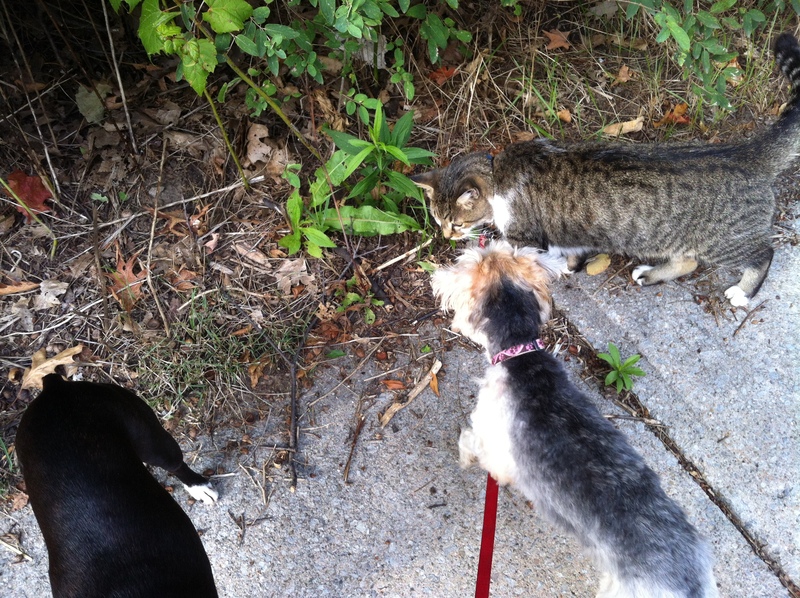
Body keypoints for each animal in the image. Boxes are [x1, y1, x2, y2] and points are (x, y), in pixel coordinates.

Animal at [414, 33, 800, 307]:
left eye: (455, 223)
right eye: (438, 220)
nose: (446, 236)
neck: (498, 175)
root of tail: (746, 153)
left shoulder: (525, 235)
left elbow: (525, 254)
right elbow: (568, 251)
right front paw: (567, 264)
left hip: (726, 241)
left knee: (763, 254)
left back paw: (743, 292)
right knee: (688, 262)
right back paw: (651, 273)